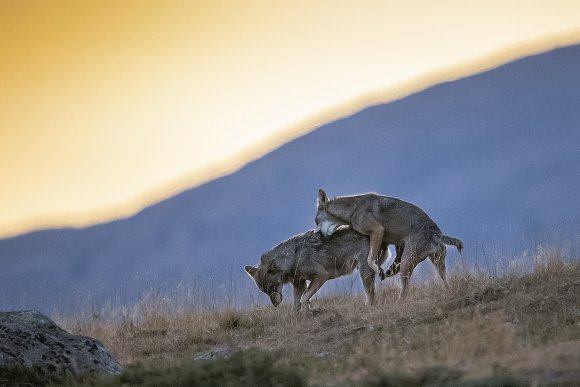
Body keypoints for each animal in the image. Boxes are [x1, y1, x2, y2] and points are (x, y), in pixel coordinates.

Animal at [242, 229, 392, 314]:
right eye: (265, 291)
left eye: (273, 287)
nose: (275, 304)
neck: (293, 257)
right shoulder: (299, 284)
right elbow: (296, 304)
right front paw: (296, 316)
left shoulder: (321, 276)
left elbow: (304, 298)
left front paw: (307, 312)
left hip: (363, 272)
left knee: (371, 295)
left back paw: (367, 307)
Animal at [314, 190, 464, 300]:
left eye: (316, 221)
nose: (317, 236)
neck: (352, 210)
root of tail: (434, 233)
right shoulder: (390, 242)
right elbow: (380, 259)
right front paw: (383, 270)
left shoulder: (378, 230)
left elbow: (370, 259)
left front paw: (377, 269)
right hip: (437, 264)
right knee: (444, 280)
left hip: (406, 264)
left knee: (405, 290)